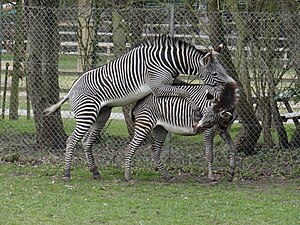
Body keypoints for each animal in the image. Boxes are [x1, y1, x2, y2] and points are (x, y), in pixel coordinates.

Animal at [43, 36, 234, 180]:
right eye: (215, 73)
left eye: (223, 70)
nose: (231, 85)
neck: (167, 62)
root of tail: (71, 90)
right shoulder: (157, 87)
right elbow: (184, 91)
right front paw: (196, 108)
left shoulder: (171, 82)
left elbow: (184, 87)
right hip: (87, 114)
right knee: (72, 140)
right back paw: (66, 173)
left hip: (102, 114)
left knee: (86, 141)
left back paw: (95, 172)